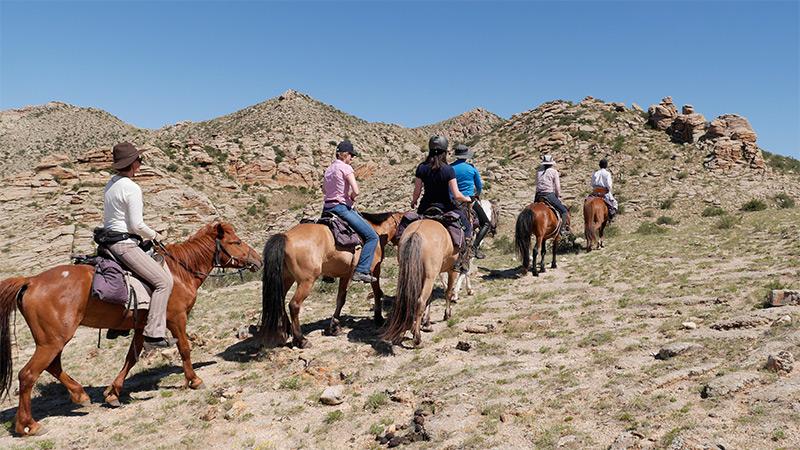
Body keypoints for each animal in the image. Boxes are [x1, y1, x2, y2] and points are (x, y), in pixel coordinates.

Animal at [0, 222, 262, 436]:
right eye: (236, 242)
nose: (258, 260)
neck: (179, 271)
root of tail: (31, 281)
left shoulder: (141, 326)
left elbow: (131, 358)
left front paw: (113, 393)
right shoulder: (176, 318)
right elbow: (185, 348)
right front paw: (194, 380)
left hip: (54, 340)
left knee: (53, 367)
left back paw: (80, 395)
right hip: (52, 341)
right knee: (28, 375)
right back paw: (27, 426)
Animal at [260, 211, 404, 348]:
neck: (376, 231)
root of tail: (286, 238)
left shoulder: (345, 275)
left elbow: (341, 299)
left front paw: (334, 326)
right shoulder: (375, 269)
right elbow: (377, 292)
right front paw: (379, 318)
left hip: (287, 278)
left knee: (280, 299)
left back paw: (288, 331)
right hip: (306, 281)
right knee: (294, 305)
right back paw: (301, 340)